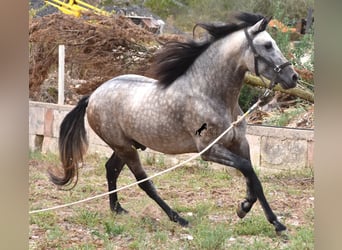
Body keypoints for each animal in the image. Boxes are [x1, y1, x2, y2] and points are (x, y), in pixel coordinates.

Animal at [49, 12, 298, 234]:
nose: (293, 77)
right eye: (267, 45)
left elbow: (253, 178)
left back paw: (117, 209)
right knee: (144, 182)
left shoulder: (239, 144)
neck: (209, 94)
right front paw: (253, 212)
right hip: (125, 148)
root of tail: (93, 95)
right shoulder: (209, 150)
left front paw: (263, 217)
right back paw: (178, 218)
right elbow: (248, 170)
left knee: (111, 169)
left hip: (125, 146)